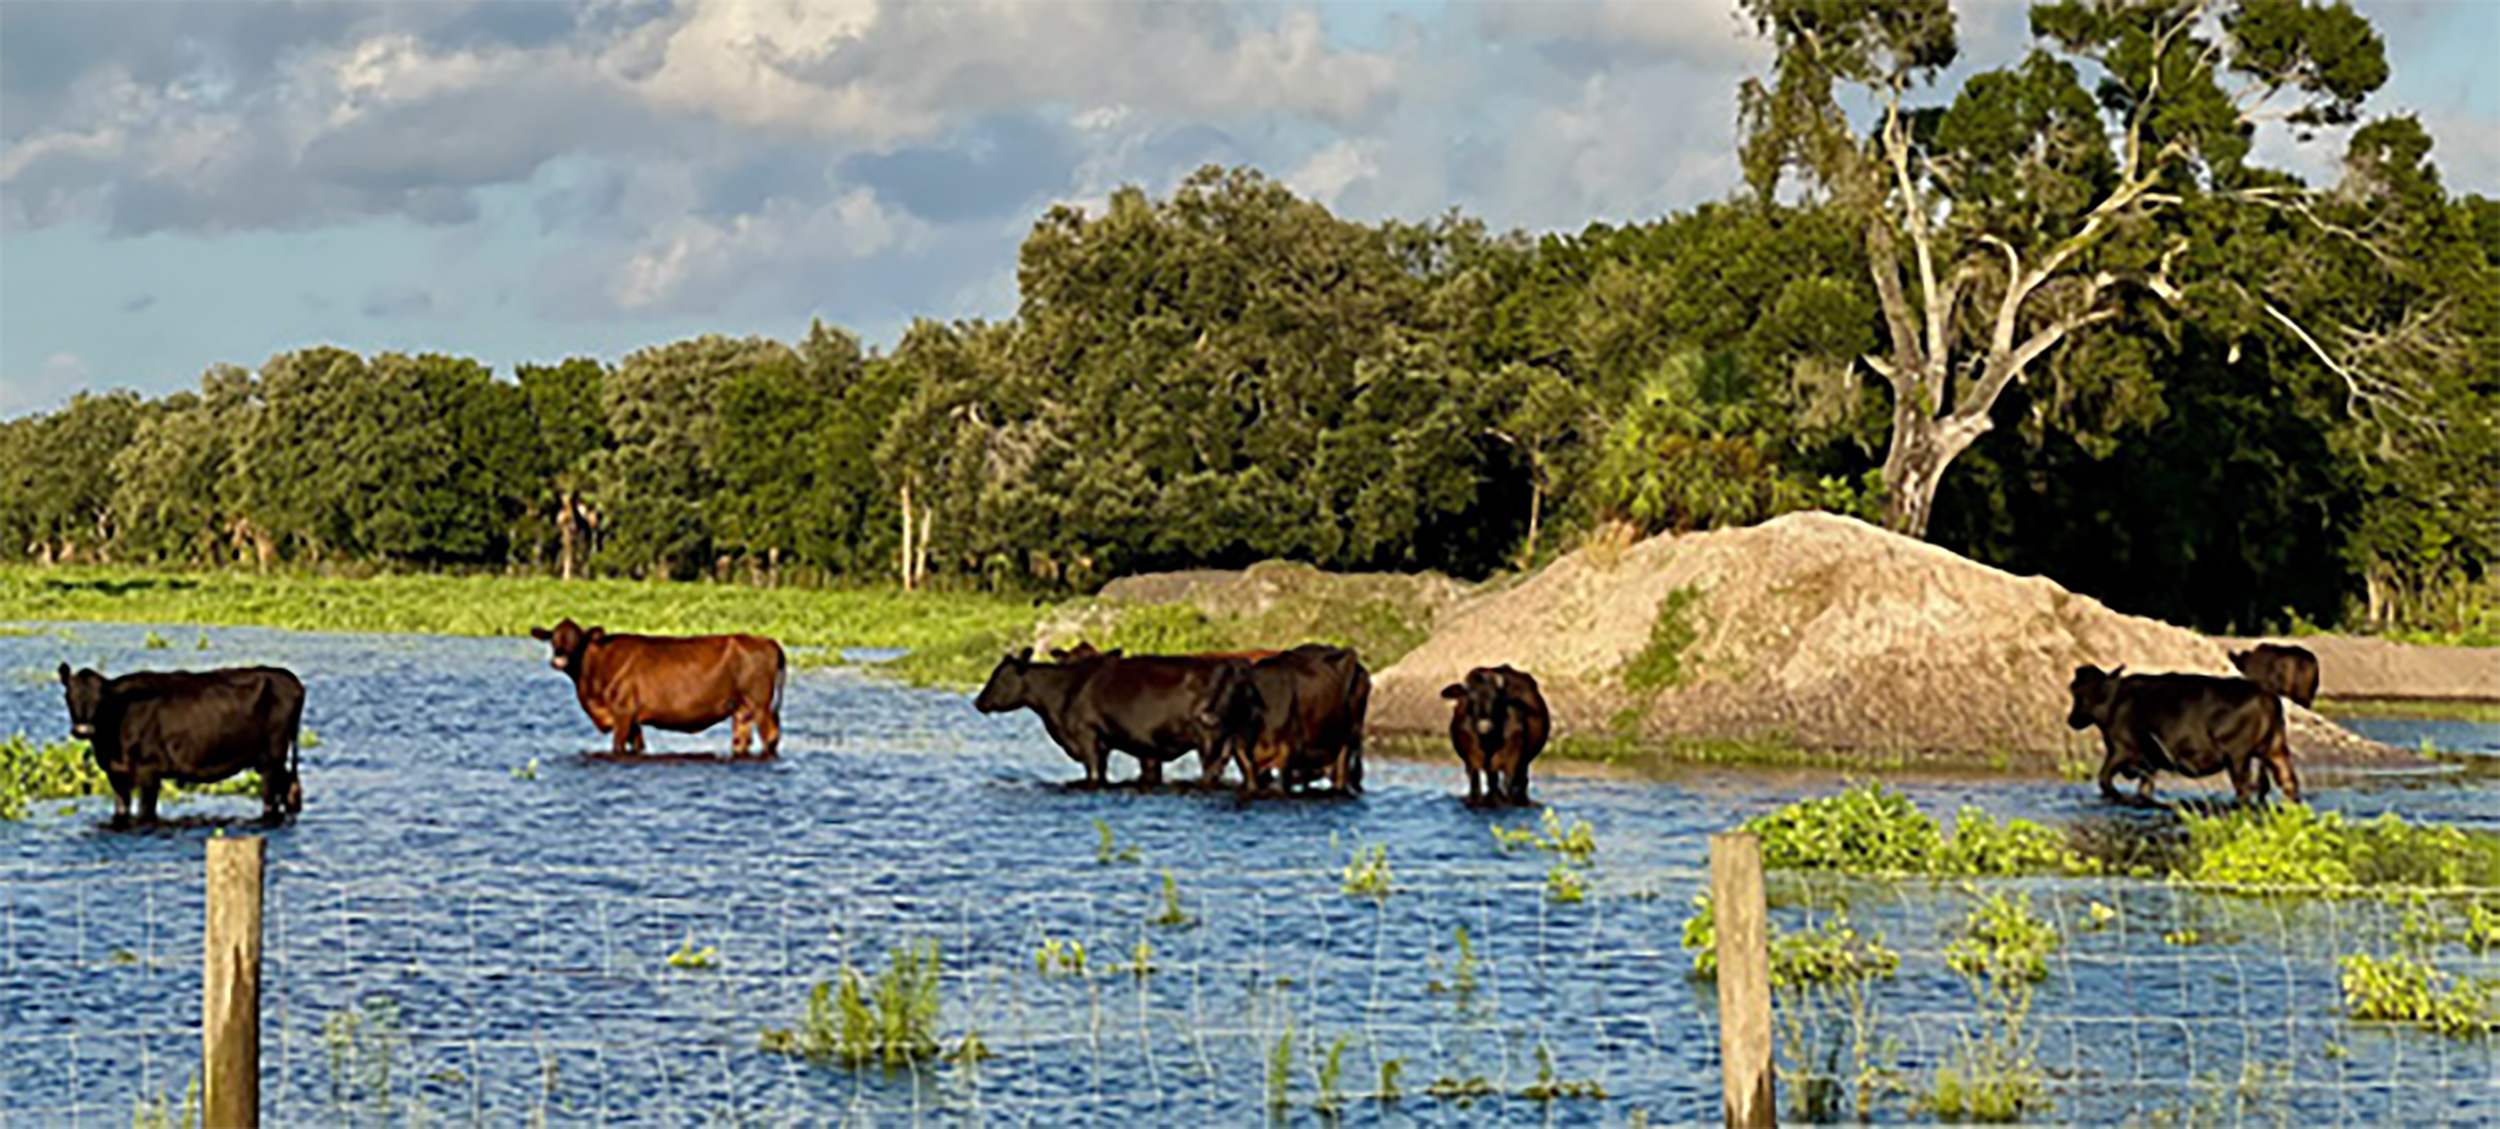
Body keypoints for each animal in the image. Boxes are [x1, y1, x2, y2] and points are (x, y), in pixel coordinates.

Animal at [56, 663, 305, 829]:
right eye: (69, 696)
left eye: (101, 700)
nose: (83, 730)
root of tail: (289, 679)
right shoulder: (115, 773)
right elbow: (121, 809)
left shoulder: (149, 771)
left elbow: (146, 812)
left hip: (272, 757)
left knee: (270, 799)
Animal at [528, 618, 786, 757]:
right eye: (553, 638)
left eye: (578, 638)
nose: (559, 657)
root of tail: (767, 641)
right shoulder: (633, 720)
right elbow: (638, 746)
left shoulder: (623, 712)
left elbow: (618, 746)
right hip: (741, 709)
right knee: (742, 740)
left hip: (760, 705)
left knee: (770, 737)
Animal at [974, 648, 1264, 787]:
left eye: (1000, 676)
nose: (978, 701)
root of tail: (1230, 665)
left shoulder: (1088, 738)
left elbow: (1094, 775)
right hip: (1234, 740)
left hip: (1209, 739)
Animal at [1442, 665, 1550, 806]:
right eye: (1471, 699)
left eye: (1496, 699)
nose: (1485, 725)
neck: (1487, 741)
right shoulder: (1470, 758)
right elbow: (1476, 784)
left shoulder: (1512, 757)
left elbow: (1508, 785)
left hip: (1523, 763)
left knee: (1520, 782)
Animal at [2065, 664, 2301, 806]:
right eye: (2075, 689)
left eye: (2079, 694)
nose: (2071, 720)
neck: (2114, 702)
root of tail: (2266, 694)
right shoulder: (2149, 764)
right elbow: (2144, 790)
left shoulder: (2121, 750)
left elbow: (2104, 779)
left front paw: (2116, 796)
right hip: (2275, 749)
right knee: (2288, 782)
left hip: (2238, 757)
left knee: (2244, 790)